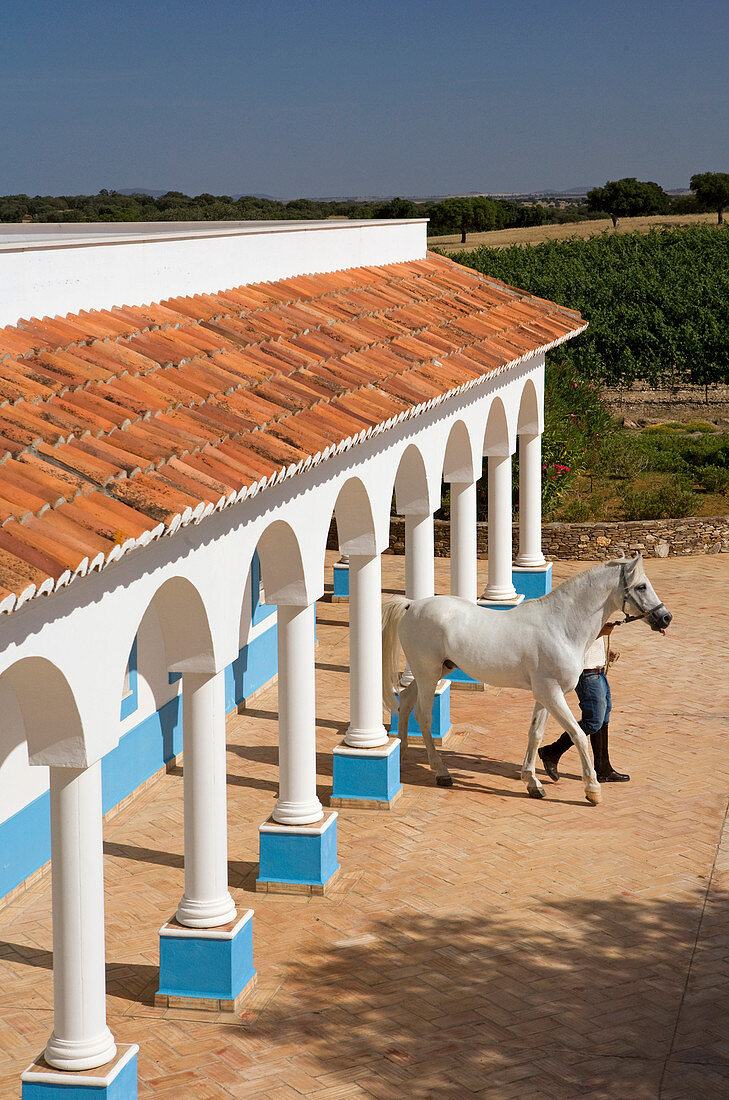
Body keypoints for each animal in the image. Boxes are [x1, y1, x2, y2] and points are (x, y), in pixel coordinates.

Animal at [384, 554, 677, 805]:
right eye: (641, 586)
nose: (665, 617)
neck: (561, 627)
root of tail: (412, 605)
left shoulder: (545, 694)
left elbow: (535, 734)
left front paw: (532, 782)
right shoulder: (552, 693)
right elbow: (578, 734)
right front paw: (592, 789)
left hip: (435, 672)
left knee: (406, 701)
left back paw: (404, 754)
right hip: (428, 674)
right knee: (423, 715)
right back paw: (441, 771)